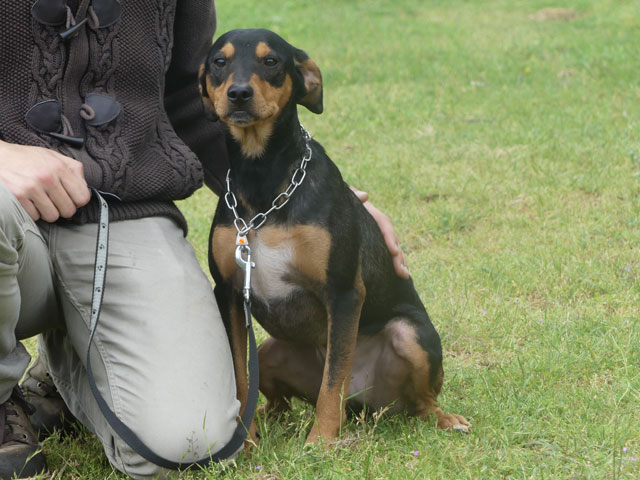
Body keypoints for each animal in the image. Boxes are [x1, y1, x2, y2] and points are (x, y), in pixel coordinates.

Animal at [200, 28, 470, 444]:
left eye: (271, 61)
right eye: (219, 61)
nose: (239, 93)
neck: (263, 180)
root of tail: (367, 404)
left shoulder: (343, 291)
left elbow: (334, 380)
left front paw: (322, 442)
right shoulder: (228, 292)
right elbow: (240, 379)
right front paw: (244, 441)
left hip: (412, 335)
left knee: (419, 402)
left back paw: (444, 419)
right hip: (272, 351)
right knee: (280, 401)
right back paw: (264, 418)